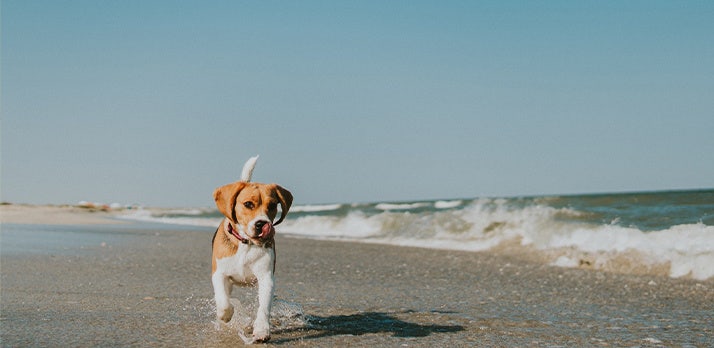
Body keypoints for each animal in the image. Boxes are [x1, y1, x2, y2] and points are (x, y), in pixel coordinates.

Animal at [210, 156, 290, 342]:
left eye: (273, 205)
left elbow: (264, 307)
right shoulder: (219, 274)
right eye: (248, 204)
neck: (246, 244)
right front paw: (225, 315)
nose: (262, 224)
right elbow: (224, 302)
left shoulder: (266, 277)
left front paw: (261, 330)